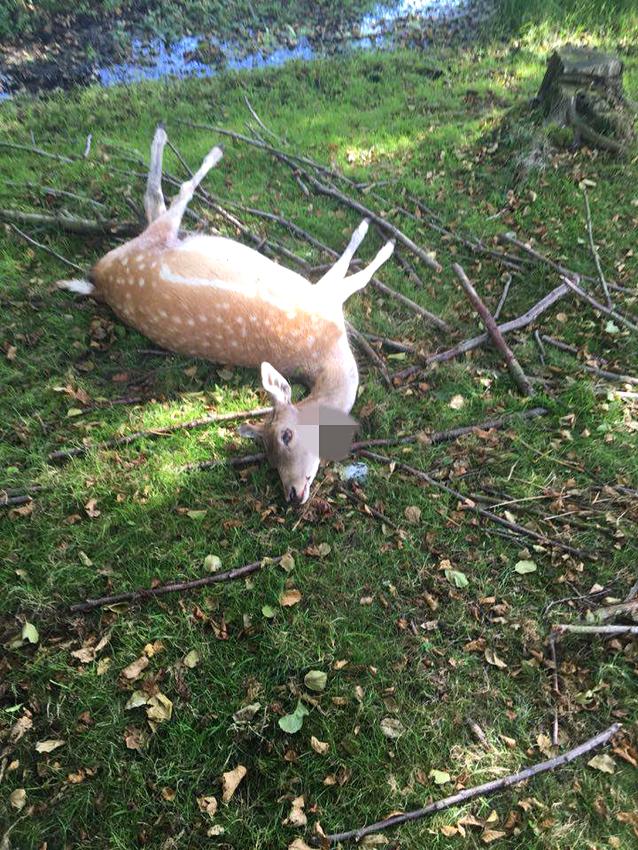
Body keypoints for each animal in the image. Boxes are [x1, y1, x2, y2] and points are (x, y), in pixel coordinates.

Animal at [58, 126, 394, 505]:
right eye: (270, 451)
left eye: (284, 436)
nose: (292, 494)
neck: (329, 353)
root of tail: (97, 279)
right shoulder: (321, 297)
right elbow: (356, 274)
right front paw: (382, 239)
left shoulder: (322, 299)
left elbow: (353, 271)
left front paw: (374, 233)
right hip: (150, 244)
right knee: (174, 192)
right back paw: (200, 146)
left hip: (152, 241)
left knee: (155, 204)